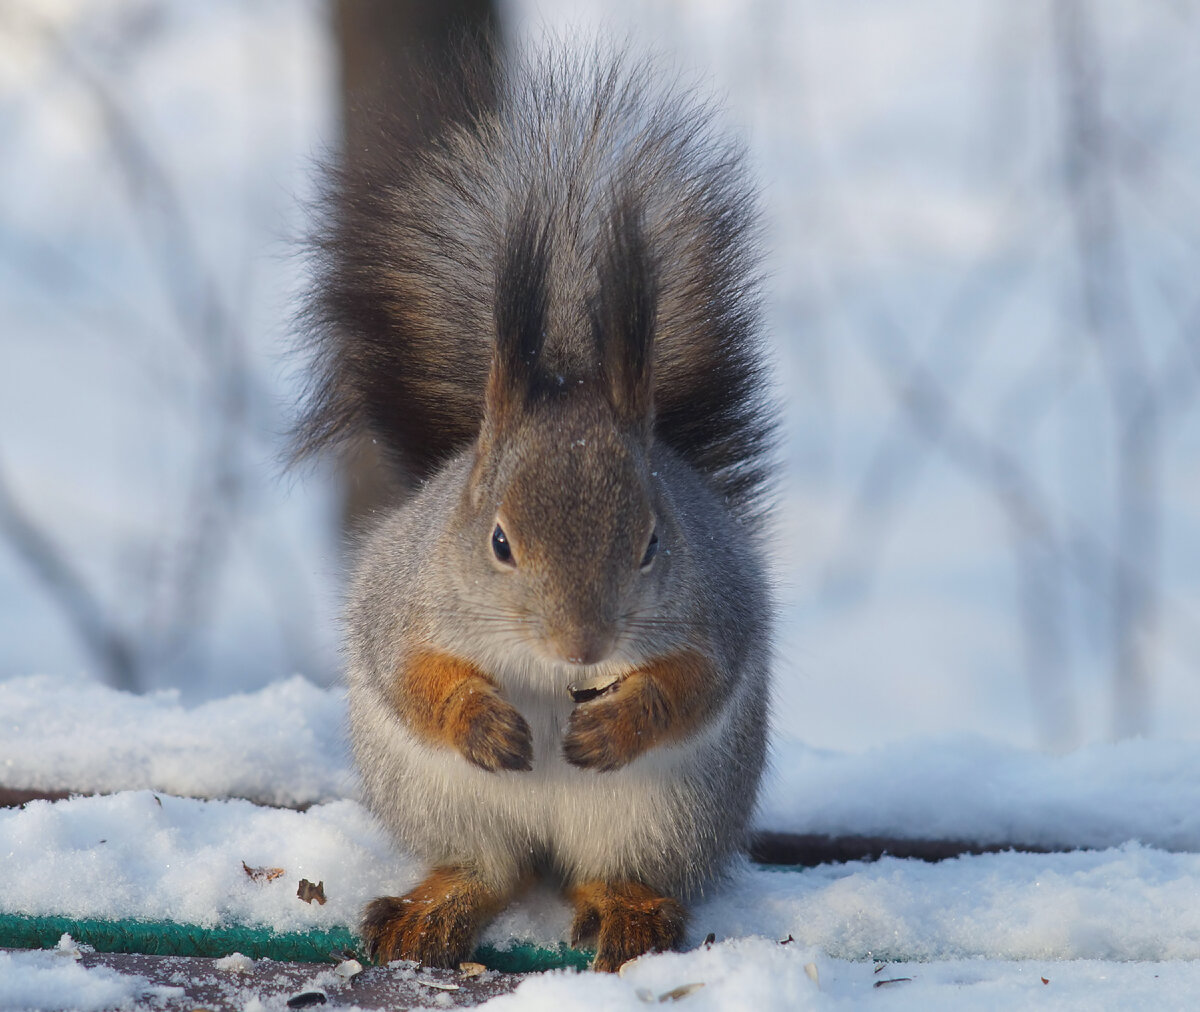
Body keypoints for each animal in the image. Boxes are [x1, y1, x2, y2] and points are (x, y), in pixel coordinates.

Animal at [295, 39, 772, 974]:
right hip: (445, 800)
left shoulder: (719, 607)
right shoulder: (404, 599)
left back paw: (627, 910)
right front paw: (478, 717)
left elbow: (695, 683)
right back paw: (435, 907)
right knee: (494, 868)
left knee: (604, 869)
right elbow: (411, 676)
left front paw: (620, 719)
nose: (585, 646)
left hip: (663, 815)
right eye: (499, 542)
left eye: (653, 540)